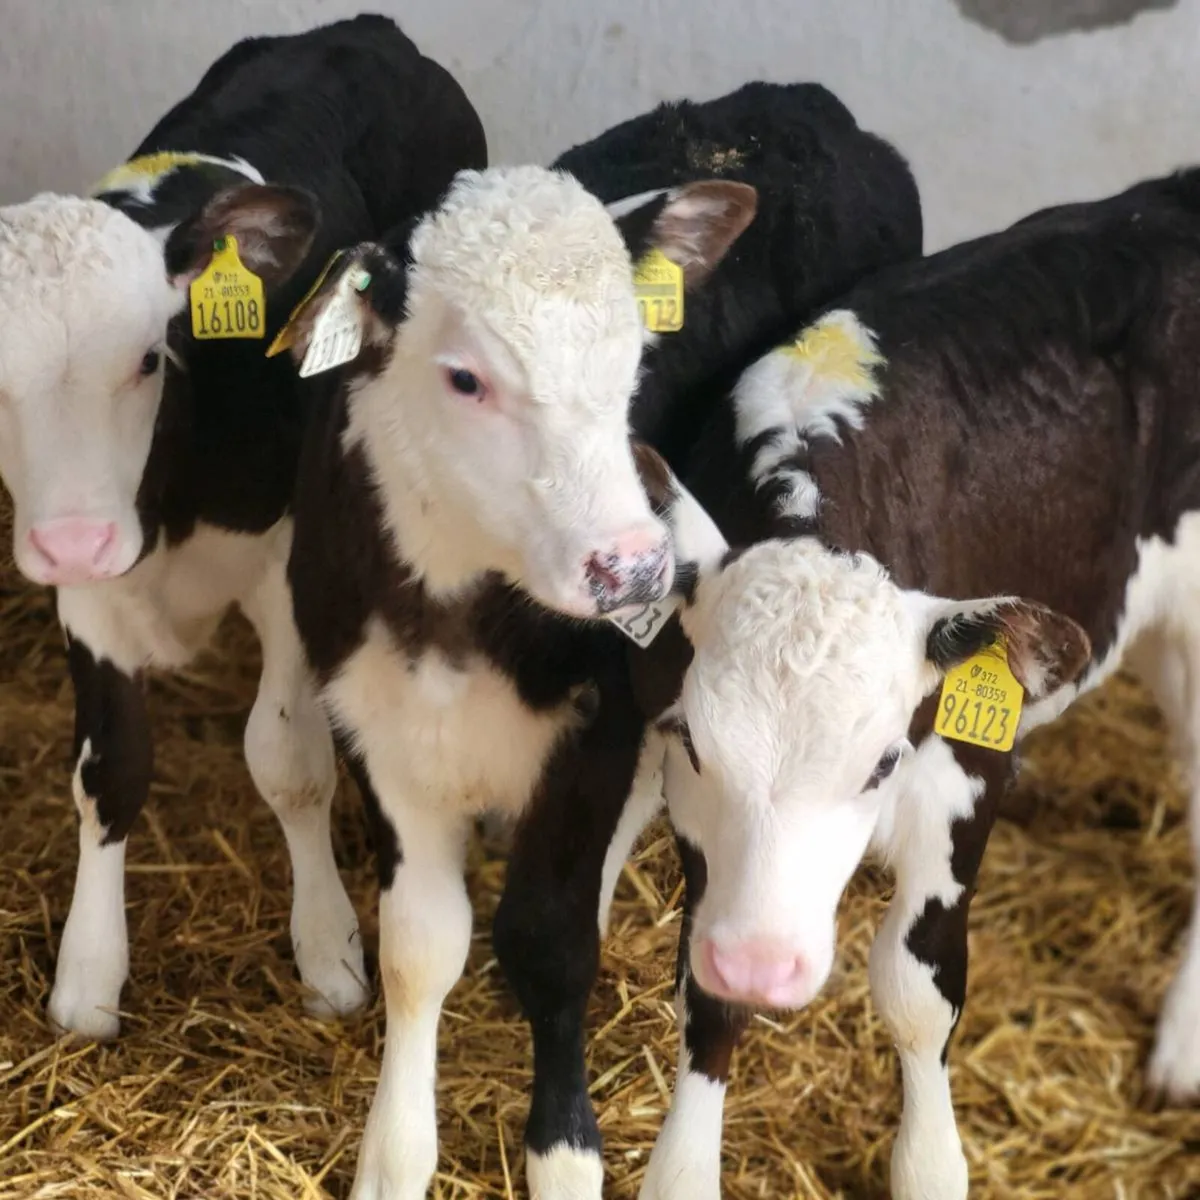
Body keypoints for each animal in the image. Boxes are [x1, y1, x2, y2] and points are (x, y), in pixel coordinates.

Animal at [0, 14, 486, 1042]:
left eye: (149, 356)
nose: (73, 540)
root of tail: (365, 27)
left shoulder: (286, 562)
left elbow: (288, 758)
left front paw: (329, 951)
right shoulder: (89, 591)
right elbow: (107, 770)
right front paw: (89, 973)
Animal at [277, 83, 921, 1200]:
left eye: (633, 364)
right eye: (464, 378)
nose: (635, 566)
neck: (451, 614)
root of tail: (793, 103)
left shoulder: (599, 732)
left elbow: (551, 941)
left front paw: (565, 1153)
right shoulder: (373, 722)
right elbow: (419, 944)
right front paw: (394, 1154)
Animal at [628, 168, 1200, 1200]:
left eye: (883, 761)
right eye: (694, 740)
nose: (764, 966)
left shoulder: (967, 770)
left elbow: (916, 991)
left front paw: (930, 1163)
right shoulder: (697, 820)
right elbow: (704, 994)